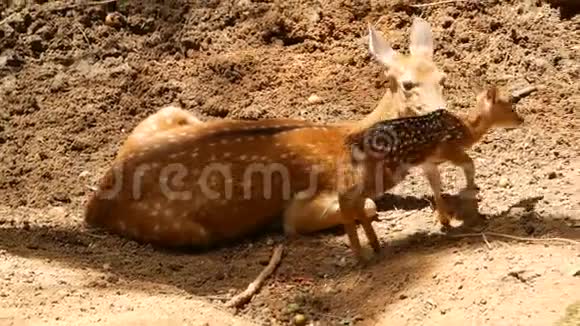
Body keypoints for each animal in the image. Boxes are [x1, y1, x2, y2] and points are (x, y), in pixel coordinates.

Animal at [84, 86, 524, 260]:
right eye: (416, 100)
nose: (461, 127)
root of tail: (94, 204)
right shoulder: (308, 203)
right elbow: (364, 208)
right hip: (188, 230)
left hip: (168, 112)